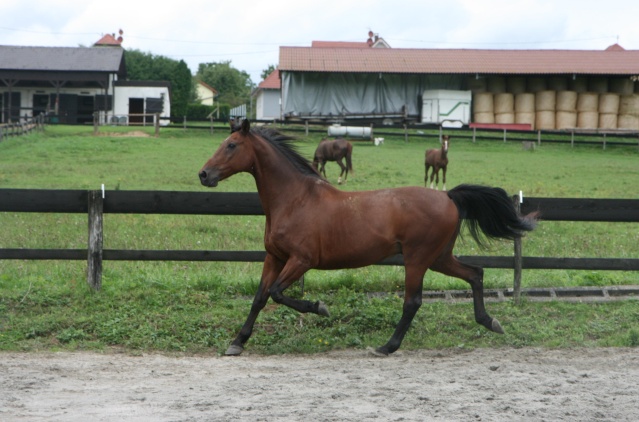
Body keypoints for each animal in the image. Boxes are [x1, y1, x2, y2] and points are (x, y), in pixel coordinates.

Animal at [198, 118, 536, 356]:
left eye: (231, 145)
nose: (204, 175)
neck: (295, 199)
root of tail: (449, 197)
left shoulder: (301, 260)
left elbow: (278, 293)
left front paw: (320, 307)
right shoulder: (275, 257)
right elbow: (260, 297)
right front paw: (237, 342)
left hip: (417, 258)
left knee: (413, 301)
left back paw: (387, 346)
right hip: (439, 257)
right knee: (475, 273)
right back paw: (490, 322)